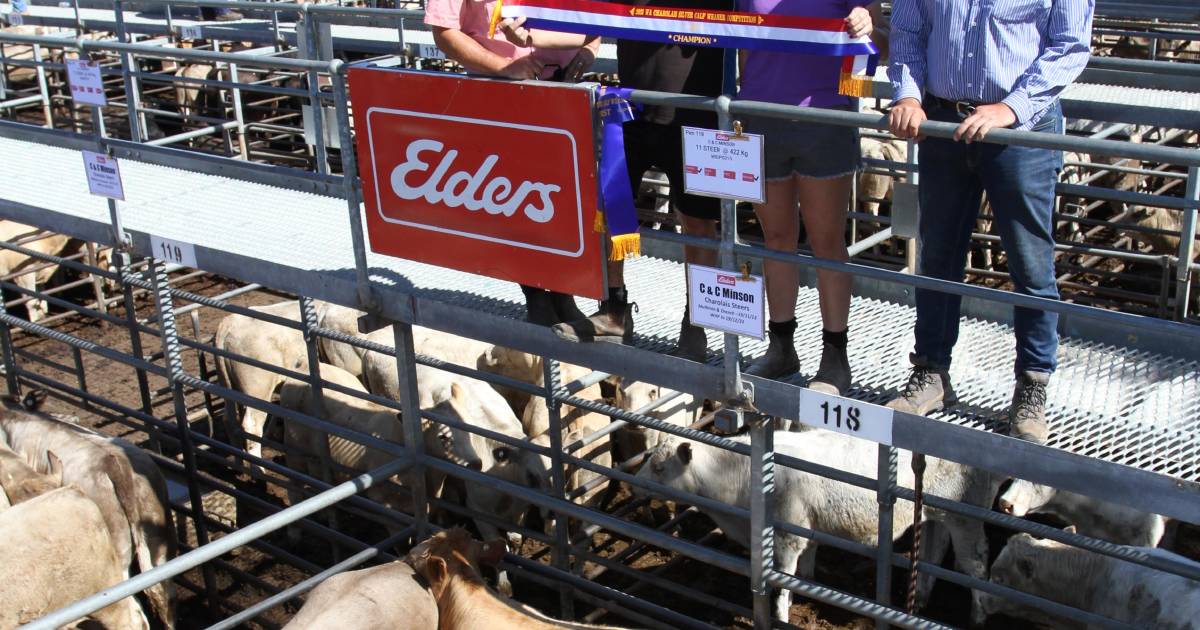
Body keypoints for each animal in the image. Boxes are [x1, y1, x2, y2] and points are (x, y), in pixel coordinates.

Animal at [638, 429, 1003, 619]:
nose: (634, 481)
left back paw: (978, 615)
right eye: (649, 457)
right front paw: (806, 592)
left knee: (975, 564)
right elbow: (807, 566)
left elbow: (781, 584)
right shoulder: (807, 527)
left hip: (965, 518)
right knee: (932, 553)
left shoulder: (786, 538)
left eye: (658, 467)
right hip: (933, 516)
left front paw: (782, 615)